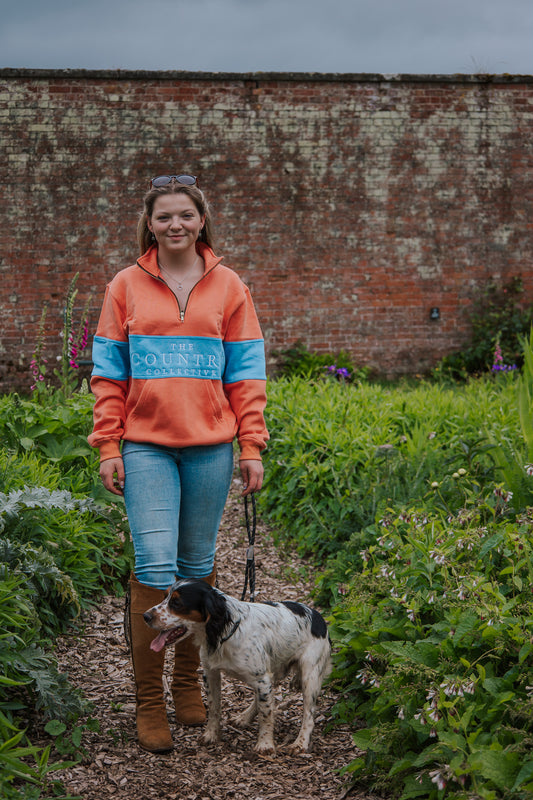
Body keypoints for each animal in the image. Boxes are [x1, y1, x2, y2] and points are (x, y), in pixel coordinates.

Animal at [143, 580, 330, 752]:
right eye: (165, 596)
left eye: (176, 603)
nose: (145, 616)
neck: (225, 632)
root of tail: (319, 617)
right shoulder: (211, 672)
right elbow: (214, 707)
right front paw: (211, 735)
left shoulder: (262, 678)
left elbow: (266, 714)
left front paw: (265, 744)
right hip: (275, 668)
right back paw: (244, 717)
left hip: (309, 676)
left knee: (308, 714)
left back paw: (300, 743)